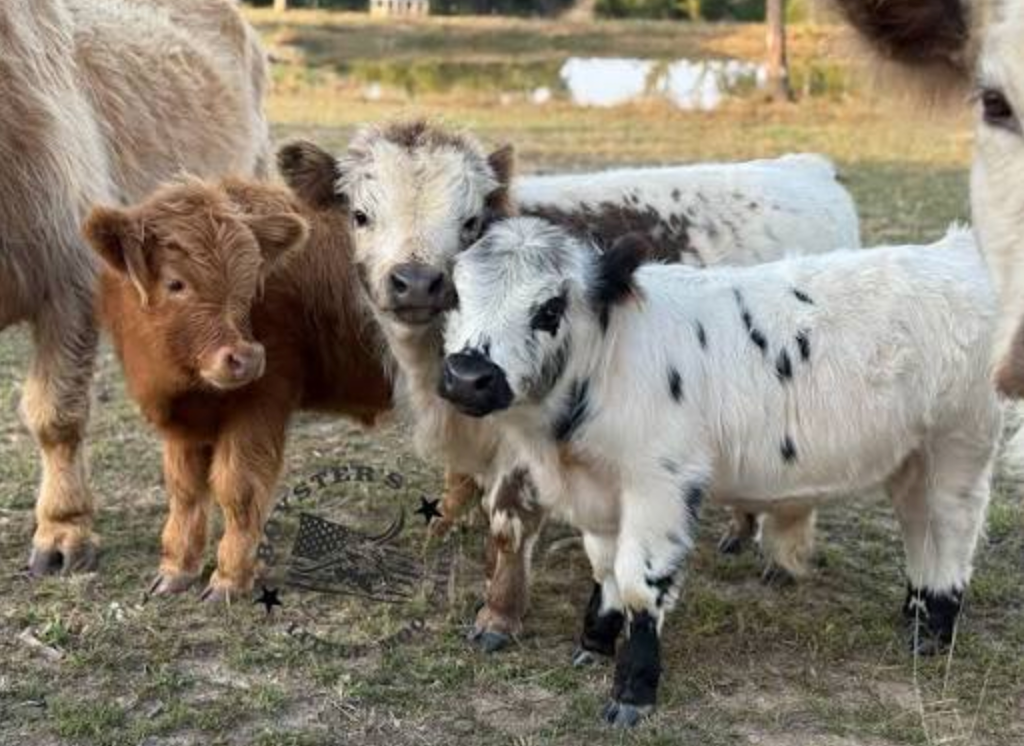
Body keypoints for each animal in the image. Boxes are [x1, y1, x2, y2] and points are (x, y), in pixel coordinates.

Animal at [82, 178, 392, 600]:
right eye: (176, 283)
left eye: (248, 287)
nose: (246, 357)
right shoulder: (185, 424)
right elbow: (184, 490)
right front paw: (176, 568)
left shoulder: (262, 401)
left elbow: (237, 488)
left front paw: (230, 577)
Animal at [439, 217, 1000, 726]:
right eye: (456, 293)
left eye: (550, 308)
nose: (467, 376)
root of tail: (952, 249)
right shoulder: (600, 494)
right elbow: (605, 569)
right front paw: (595, 641)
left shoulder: (660, 483)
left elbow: (639, 582)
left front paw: (632, 691)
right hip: (913, 458)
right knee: (918, 528)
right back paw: (916, 613)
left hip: (959, 445)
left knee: (952, 532)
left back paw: (932, 632)